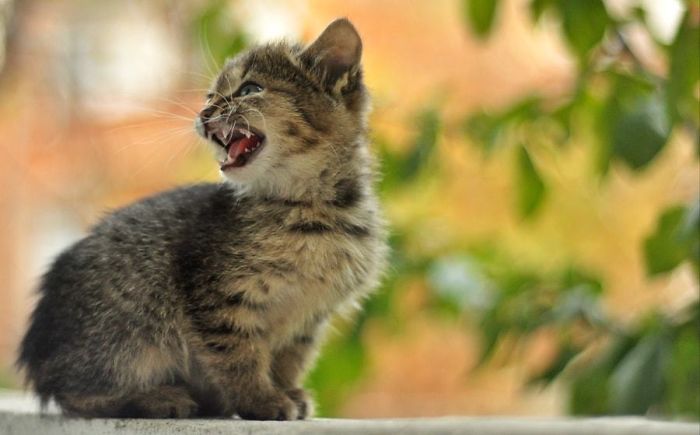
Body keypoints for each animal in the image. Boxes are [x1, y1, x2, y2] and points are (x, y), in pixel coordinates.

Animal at [17, 18, 388, 420]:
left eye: (251, 89)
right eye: (211, 96)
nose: (204, 113)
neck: (313, 209)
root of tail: (38, 354)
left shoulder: (308, 317)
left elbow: (289, 359)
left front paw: (287, 391)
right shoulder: (219, 296)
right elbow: (238, 356)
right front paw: (261, 400)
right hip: (127, 334)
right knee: (77, 394)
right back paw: (158, 398)